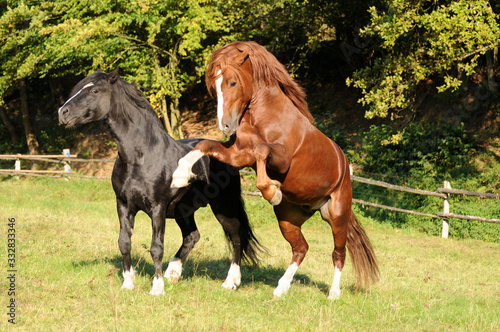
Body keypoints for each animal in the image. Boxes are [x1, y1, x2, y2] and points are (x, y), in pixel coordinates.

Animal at [58, 68, 262, 294]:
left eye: (95, 90)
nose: (62, 113)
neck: (141, 156)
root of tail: (228, 152)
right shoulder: (123, 205)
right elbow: (124, 242)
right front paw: (128, 283)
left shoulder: (158, 207)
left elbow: (156, 247)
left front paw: (157, 288)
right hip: (184, 209)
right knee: (192, 236)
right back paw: (173, 273)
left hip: (223, 206)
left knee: (237, 236)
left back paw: (230, 281)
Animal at [172, 40, 378, 298]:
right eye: (214, 87)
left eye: (232, 82)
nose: (226, 126)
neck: (262, 117)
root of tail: (345, 167)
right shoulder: (238, 155)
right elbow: (205, 144)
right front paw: (180, 174)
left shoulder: (280, 158)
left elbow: (262, 151)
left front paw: (272, 191)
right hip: (288, 219)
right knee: (301, 248)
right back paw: (281, 287)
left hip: (337, 216)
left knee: (338, 253)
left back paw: (333, 293)